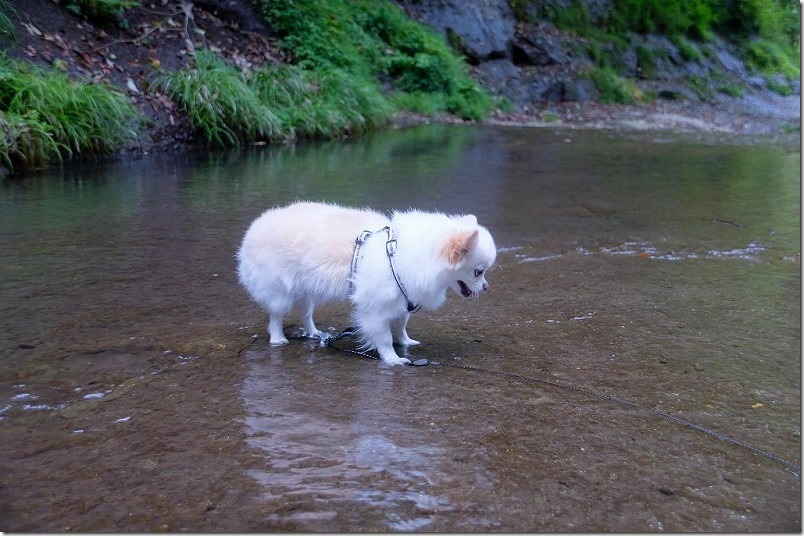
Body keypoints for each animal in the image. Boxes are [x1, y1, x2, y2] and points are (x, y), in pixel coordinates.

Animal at [236, 200, 496, 364]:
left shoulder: (403, 299)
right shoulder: (376, 309)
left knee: (305, 312)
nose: (486, 287)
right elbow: (384, 337)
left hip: (307, 291)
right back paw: (278, 338)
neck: (399, 255)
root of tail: (256, 226)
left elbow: (400, 325)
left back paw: (314, 333)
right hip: (279, 292)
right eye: (478, 272)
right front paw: (393, 359)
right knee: (276, 316)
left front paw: (406, 342)